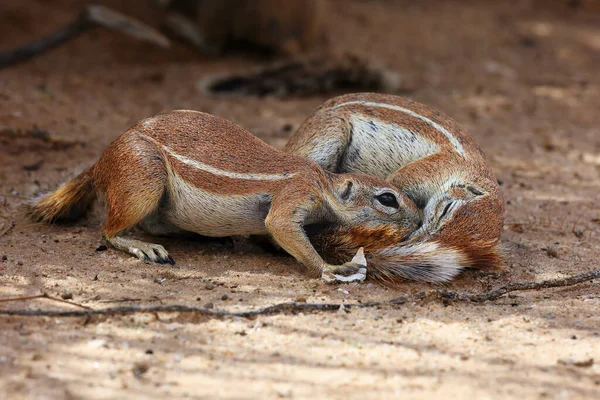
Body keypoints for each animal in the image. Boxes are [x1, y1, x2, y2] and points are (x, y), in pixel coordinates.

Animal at [28, 110, 420, 282]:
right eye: (388, 199)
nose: (418, 219)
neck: (324, 183)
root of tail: (101, 160)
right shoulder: (296, 194)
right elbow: (281, 226)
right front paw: (333, 267)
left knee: (155, 223)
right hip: (143, 178)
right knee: (110, 232)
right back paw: (145, 247)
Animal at [284, 92, 504, 282]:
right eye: (446, 210)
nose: (414, 239)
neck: (467, 170)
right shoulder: (424, 172)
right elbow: (397, 185)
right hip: (329, 136)